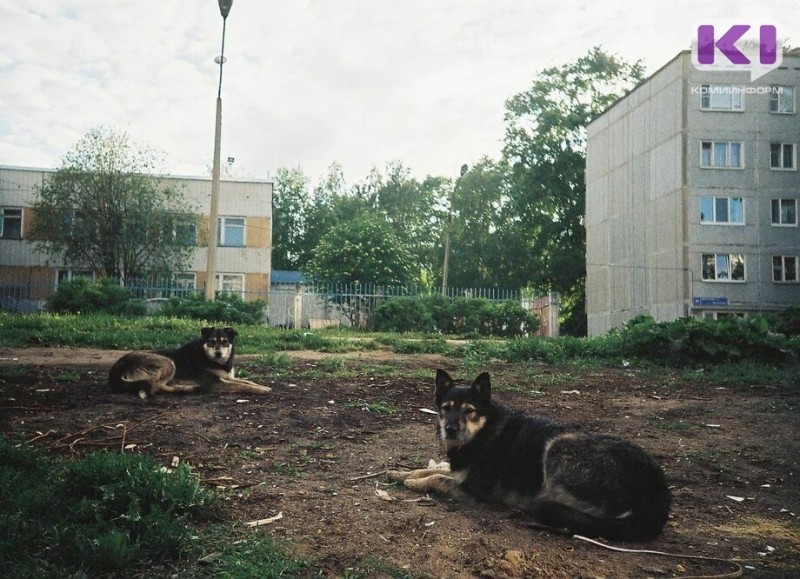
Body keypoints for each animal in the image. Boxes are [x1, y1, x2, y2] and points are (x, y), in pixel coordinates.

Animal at [106, 326, 272, 398]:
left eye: (225, 342)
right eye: (212, 342)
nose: (218, 353)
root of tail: (116, 369)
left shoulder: (228, 377)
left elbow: (247, 381)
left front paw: (262, 386)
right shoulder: (214, 383)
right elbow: (242, 386)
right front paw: (261, 390)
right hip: (167, 363)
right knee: (155, 387)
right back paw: (188, 388)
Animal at [388, 372, 668, 544]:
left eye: (469, 411)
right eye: (446, 409)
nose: (451, 429)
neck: (484, 430)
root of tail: (659, 493)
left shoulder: (474, 490)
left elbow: (437, 478)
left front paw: (414, 483)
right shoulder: (459, 472)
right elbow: (430, 469)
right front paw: (399, 473)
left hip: (560, 444)